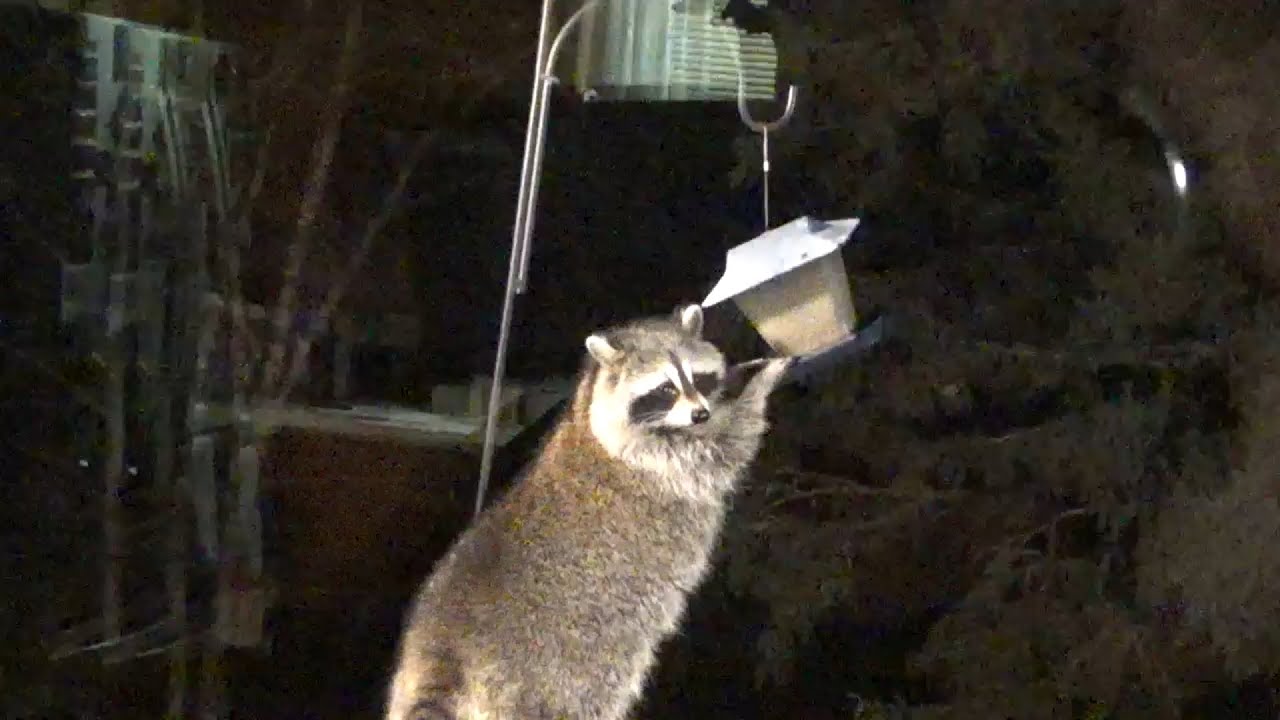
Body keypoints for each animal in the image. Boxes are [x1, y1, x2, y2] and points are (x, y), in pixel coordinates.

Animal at [385, 304, 792, 720]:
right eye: (665, 389)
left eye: (698, 377)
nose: (700, 415)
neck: (591, 417)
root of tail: (442, 651)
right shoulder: (657, 461)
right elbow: (724, 445)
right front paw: (761, 380)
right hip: (564, 671)